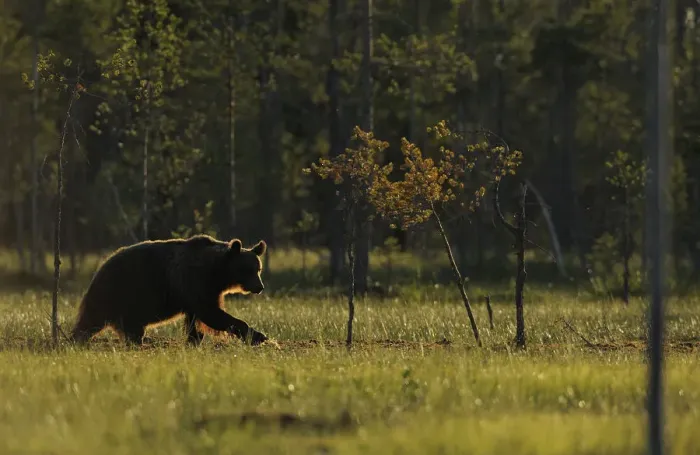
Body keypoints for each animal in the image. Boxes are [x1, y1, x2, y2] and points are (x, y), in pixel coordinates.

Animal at [70, 234, 269, 346]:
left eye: (258, 269)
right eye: (247, 269)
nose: (259, 287)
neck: (217, 273)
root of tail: (100, 267)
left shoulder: (202, 291)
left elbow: (195, 320)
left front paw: (194, 340)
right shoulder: (195, 282)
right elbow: (212, 314)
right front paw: (259, 336)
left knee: (130, 328)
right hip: (119, 291)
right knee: (91, 319)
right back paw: (76, 339)